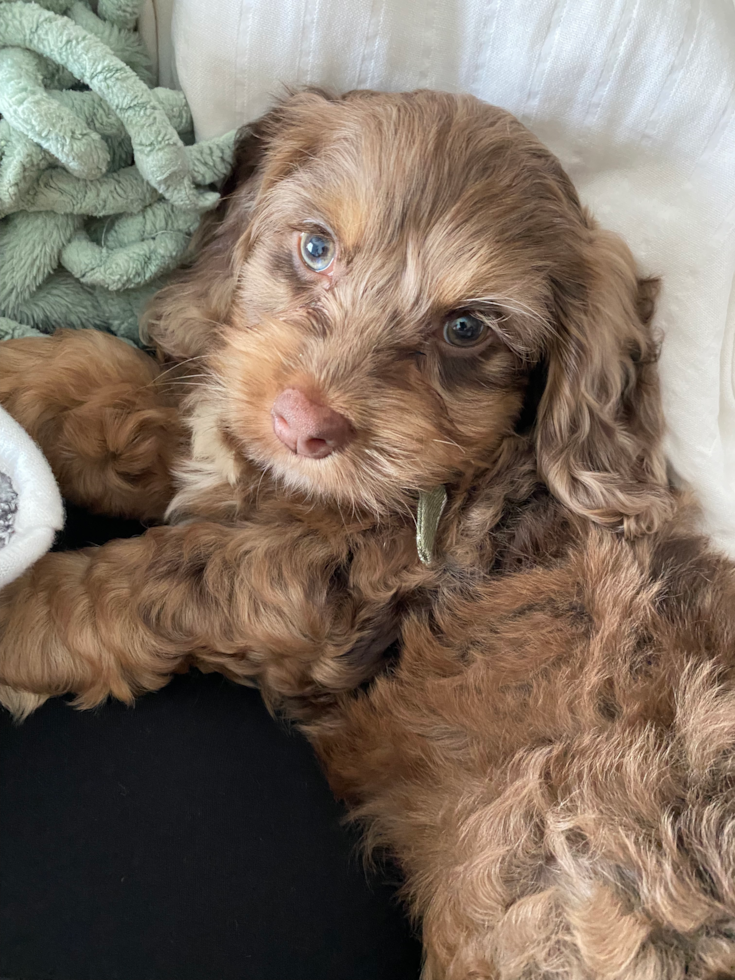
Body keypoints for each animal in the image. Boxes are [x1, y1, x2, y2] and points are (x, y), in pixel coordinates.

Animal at [1, 90, 735, 972]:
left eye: (466, 329)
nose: (303, 425)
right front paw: (21, 374)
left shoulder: (307, 595)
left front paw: (16, 612)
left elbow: (146, 579)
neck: (462, 485)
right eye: (315, 248)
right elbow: (124, 393)